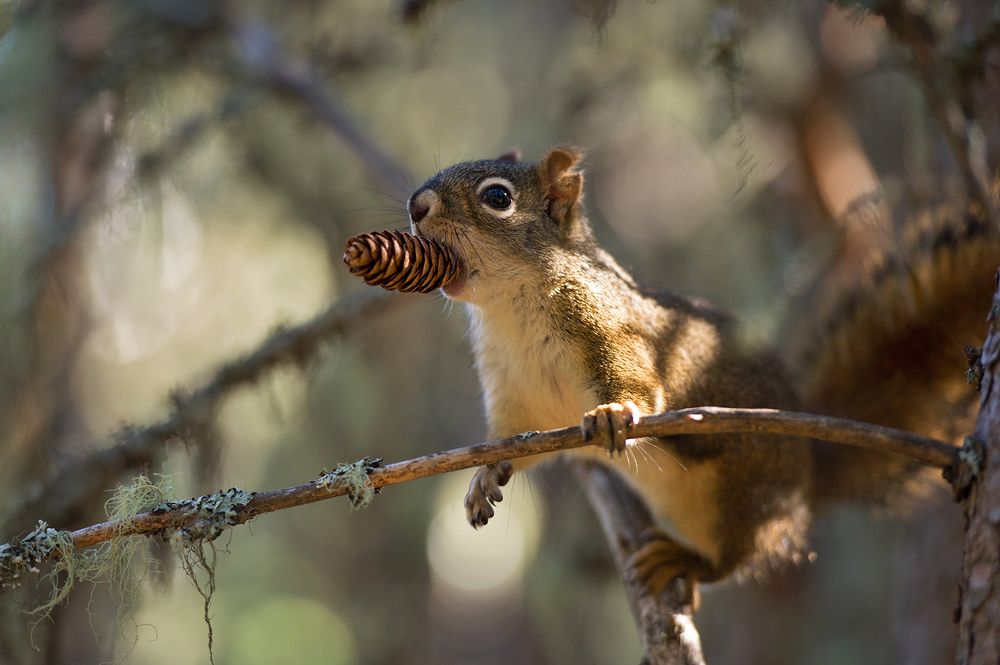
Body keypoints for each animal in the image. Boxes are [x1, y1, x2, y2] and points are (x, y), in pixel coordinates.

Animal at [405, 146, 1000, 594]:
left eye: (497, 197)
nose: (415, 204)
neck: (512, 310)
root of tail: (807, 476)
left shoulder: (613, 332)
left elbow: (641, 386)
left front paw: (614, 414)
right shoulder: (517, 393)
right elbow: (517, 440)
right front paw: (486, 475)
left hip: (738, 499)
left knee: (737, 560)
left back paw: (687, 563)